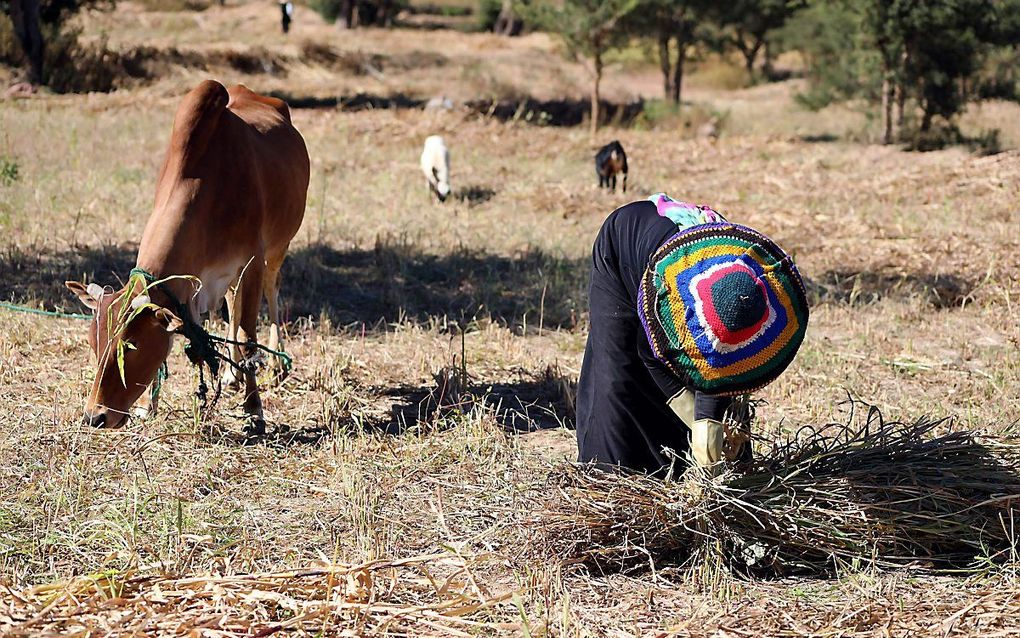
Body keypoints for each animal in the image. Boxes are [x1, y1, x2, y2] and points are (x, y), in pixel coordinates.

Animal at [65, 78, 308, 428]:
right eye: (93, 342)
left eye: (131, 346)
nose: (94, 416)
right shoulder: (200, 281)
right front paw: (148, 406)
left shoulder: (251, 261)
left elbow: (248, 335)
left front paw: (254, 411)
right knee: (233, 303)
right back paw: (232, 374)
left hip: (277, 249)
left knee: (271, 292)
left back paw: (275, 363)